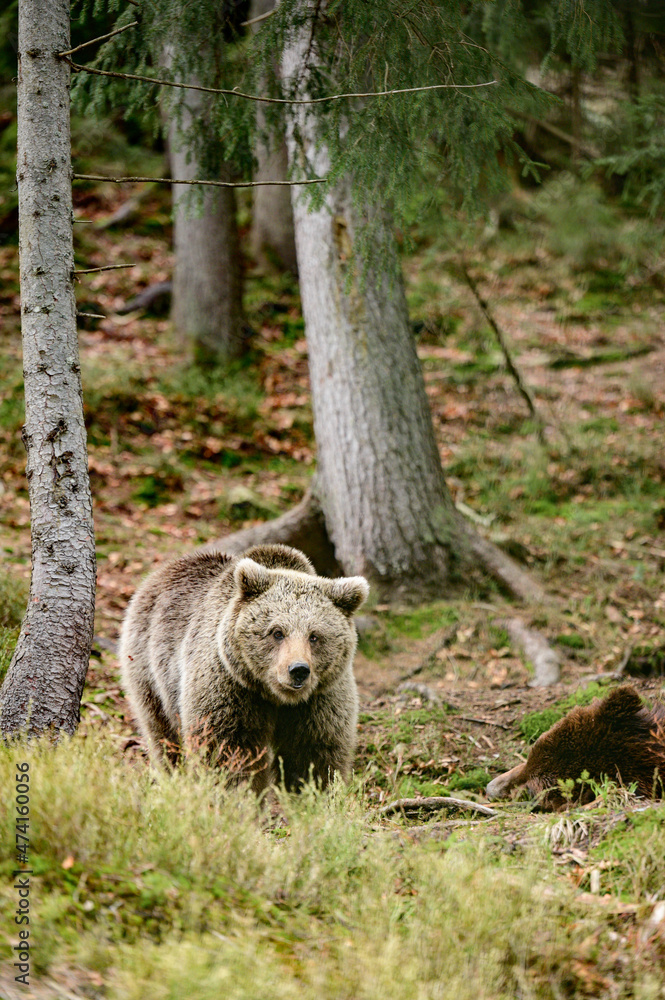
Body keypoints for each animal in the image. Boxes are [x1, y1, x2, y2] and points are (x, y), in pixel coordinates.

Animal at [119, 543, 369, 793]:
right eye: (277, 632)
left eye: (314, 636)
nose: (298, 670)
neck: (276, 697)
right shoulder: (230, 687)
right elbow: (228, 751)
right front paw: (239, 794)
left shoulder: (320, 699)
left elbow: (313, 755)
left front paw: (312, 793)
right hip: (150, 666)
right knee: (162, 731)